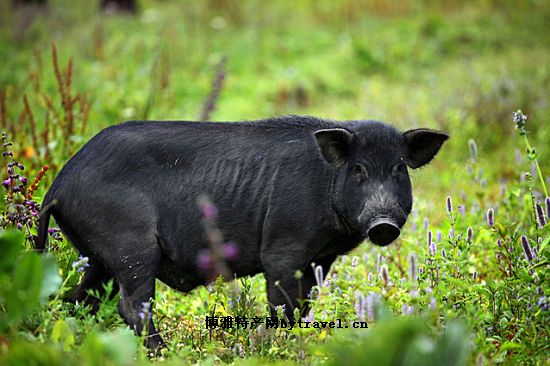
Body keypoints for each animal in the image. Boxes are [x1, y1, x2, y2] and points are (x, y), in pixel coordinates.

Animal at [34, 114, 448, 348]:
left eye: (398, 169)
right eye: (359, 169)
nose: (383, 222)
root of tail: (58, 187)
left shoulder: (322, 258)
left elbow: (304, 306)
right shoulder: (282, 249)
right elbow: (282, 306)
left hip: (97, 255)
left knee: (81, 298)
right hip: (129, 245)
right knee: (132, 304)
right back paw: (162, 352)